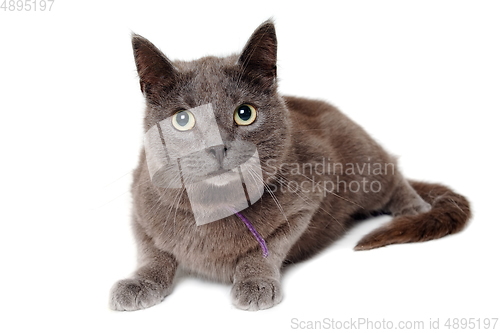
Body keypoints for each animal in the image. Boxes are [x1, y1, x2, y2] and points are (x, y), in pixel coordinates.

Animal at [108, 20, 468, 310]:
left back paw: (414, 208)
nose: (218, 147)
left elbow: (269, 245)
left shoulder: (309, 196)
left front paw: (255, 282)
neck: (215, 206)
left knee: (393, 175)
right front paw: (139, 282)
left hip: (365, 166)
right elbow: (152, 250)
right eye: (183, 120)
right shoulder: (140, 201)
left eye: (245, 113)